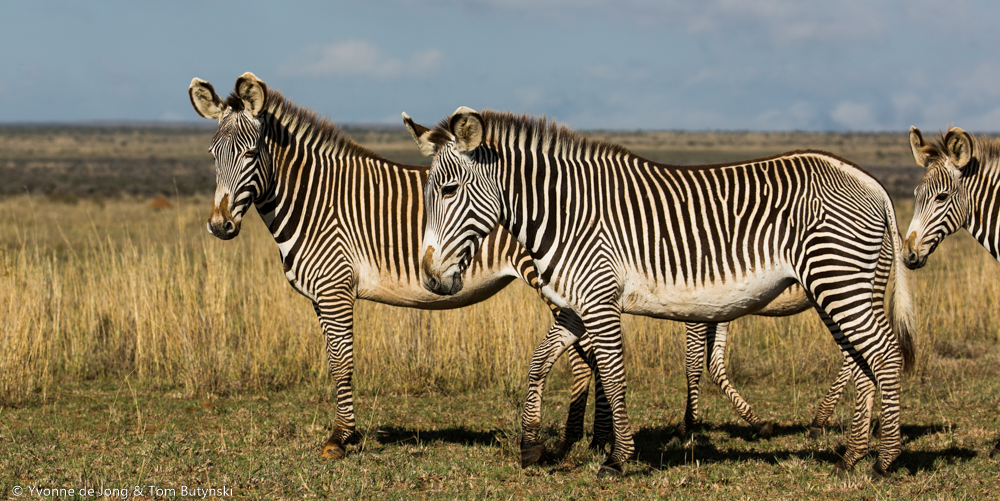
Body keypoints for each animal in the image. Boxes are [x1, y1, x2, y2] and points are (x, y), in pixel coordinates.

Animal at [406, 107, 916, 477]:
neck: (564, 213)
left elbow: (612, 375)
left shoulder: (599, 298)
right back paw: (852, 455)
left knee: (885, 355)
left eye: (449, 190)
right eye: (430, 191)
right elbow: (537, 363)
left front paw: (617, 459)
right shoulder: (573, 307)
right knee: (862, 361)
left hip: (838, 279)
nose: (430, 278)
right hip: (842, 284)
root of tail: (872, 183)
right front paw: (532, 445)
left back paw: (885, 459)